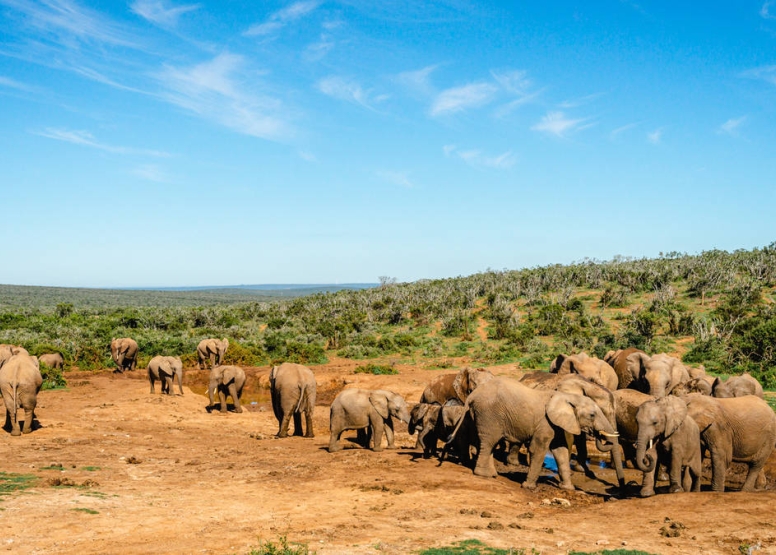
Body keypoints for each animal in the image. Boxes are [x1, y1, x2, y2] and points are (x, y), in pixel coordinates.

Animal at [448, 378, 620, 490]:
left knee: (484, 442)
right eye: (592, 415)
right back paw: (484, 475)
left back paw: (491, 474)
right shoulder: (545, 423)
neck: (568, 396)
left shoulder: (557, 425)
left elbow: (561, 451)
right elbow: (538, 449)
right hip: (488, 414)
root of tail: (472, 395)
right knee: (489, 441)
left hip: (478, 414)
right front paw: (528, 487)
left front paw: (567, 488)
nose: (598, 434)